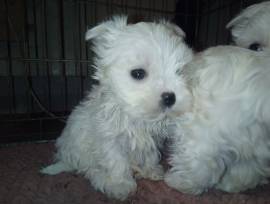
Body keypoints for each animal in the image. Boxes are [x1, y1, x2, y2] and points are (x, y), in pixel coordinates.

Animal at [41, 16, 193, 201]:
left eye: (180, 71)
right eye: (138, 73)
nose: (170, 97)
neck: (136, 115)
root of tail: (66, 158)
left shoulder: (151, 138)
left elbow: (150, 155)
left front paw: (150, 170)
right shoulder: (110, 139)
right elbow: (116, 161)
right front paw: (120, 185)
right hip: (81, 153)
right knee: (91, 170)